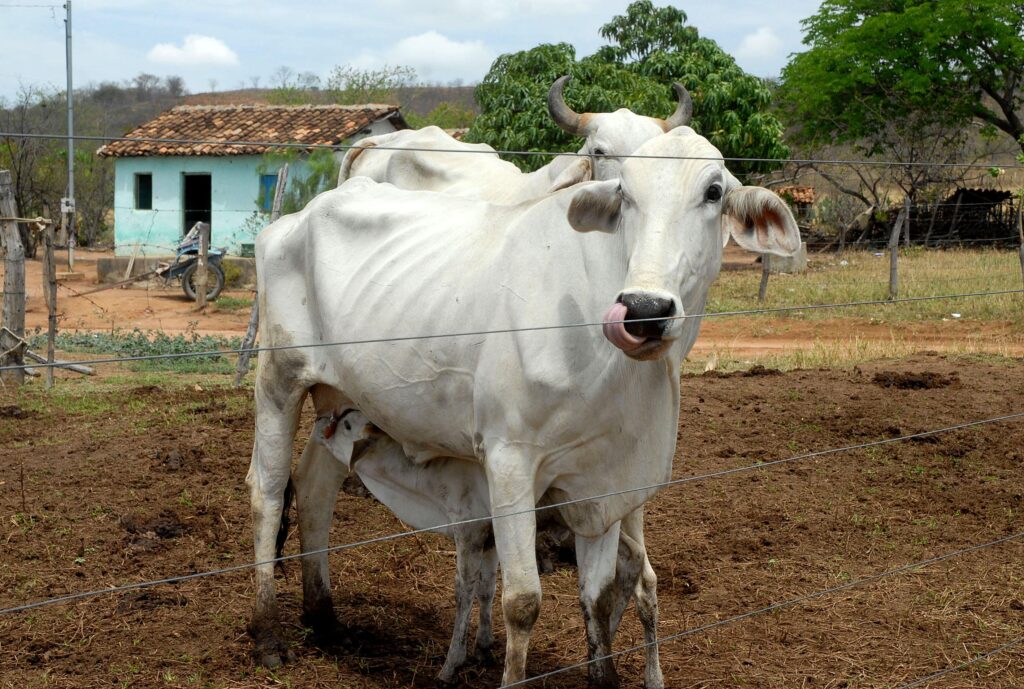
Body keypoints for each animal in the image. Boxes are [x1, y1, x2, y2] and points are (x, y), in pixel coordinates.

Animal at [247, 126, 798, 683]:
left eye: (713, 192)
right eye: (624, 192)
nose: (643, 311)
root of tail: (301, 215)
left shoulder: (605, 483)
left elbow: (598, 596)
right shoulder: (508, 461)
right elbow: (522, 602)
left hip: (340, 399)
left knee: (315, 488)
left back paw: (324, 618)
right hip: (278, 380)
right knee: (267, 493)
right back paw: (267, 633)